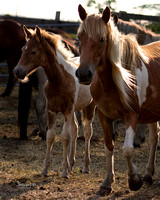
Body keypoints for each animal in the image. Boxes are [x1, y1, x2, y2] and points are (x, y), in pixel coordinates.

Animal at [13, 25, 95, 178]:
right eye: (22, 49)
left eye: (33, 51)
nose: (17, 72)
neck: (60, 78)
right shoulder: (51, 109)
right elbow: (51, 136)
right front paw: (45, 169)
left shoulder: (67, 110)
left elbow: (64, 137)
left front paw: (64, 171)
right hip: (75, 109)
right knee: (75, 129)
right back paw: (71, 163)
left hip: (89, 106)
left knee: (87, 131)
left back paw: (86, 166)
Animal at [75, 4, 160, 197]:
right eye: (79, 38)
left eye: (102, 39)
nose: (83, 74)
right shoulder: (104, 116)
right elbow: (109, 147)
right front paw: (107, 183)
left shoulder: (132, 116)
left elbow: (127, 149)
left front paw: (134, 180)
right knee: (154, 137)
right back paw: (148, 174)